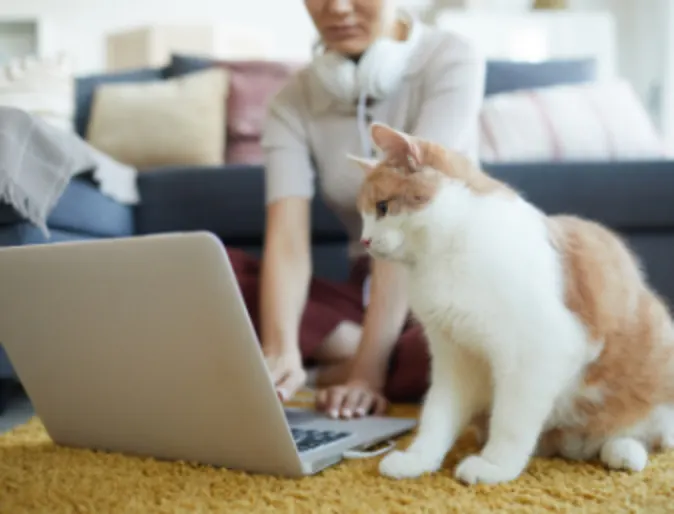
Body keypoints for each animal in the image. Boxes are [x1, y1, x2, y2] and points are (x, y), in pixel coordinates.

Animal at [346, 122, 672, 482]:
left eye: (383, 208)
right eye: (363, 215)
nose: (364, 240)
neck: (445, 254)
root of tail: (573, 446)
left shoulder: (536, 353)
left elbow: (511, 419)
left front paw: (494, 465)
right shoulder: (454, 357)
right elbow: (437, 414)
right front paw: (419, 458)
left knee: (647, 434)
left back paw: (624, 452)